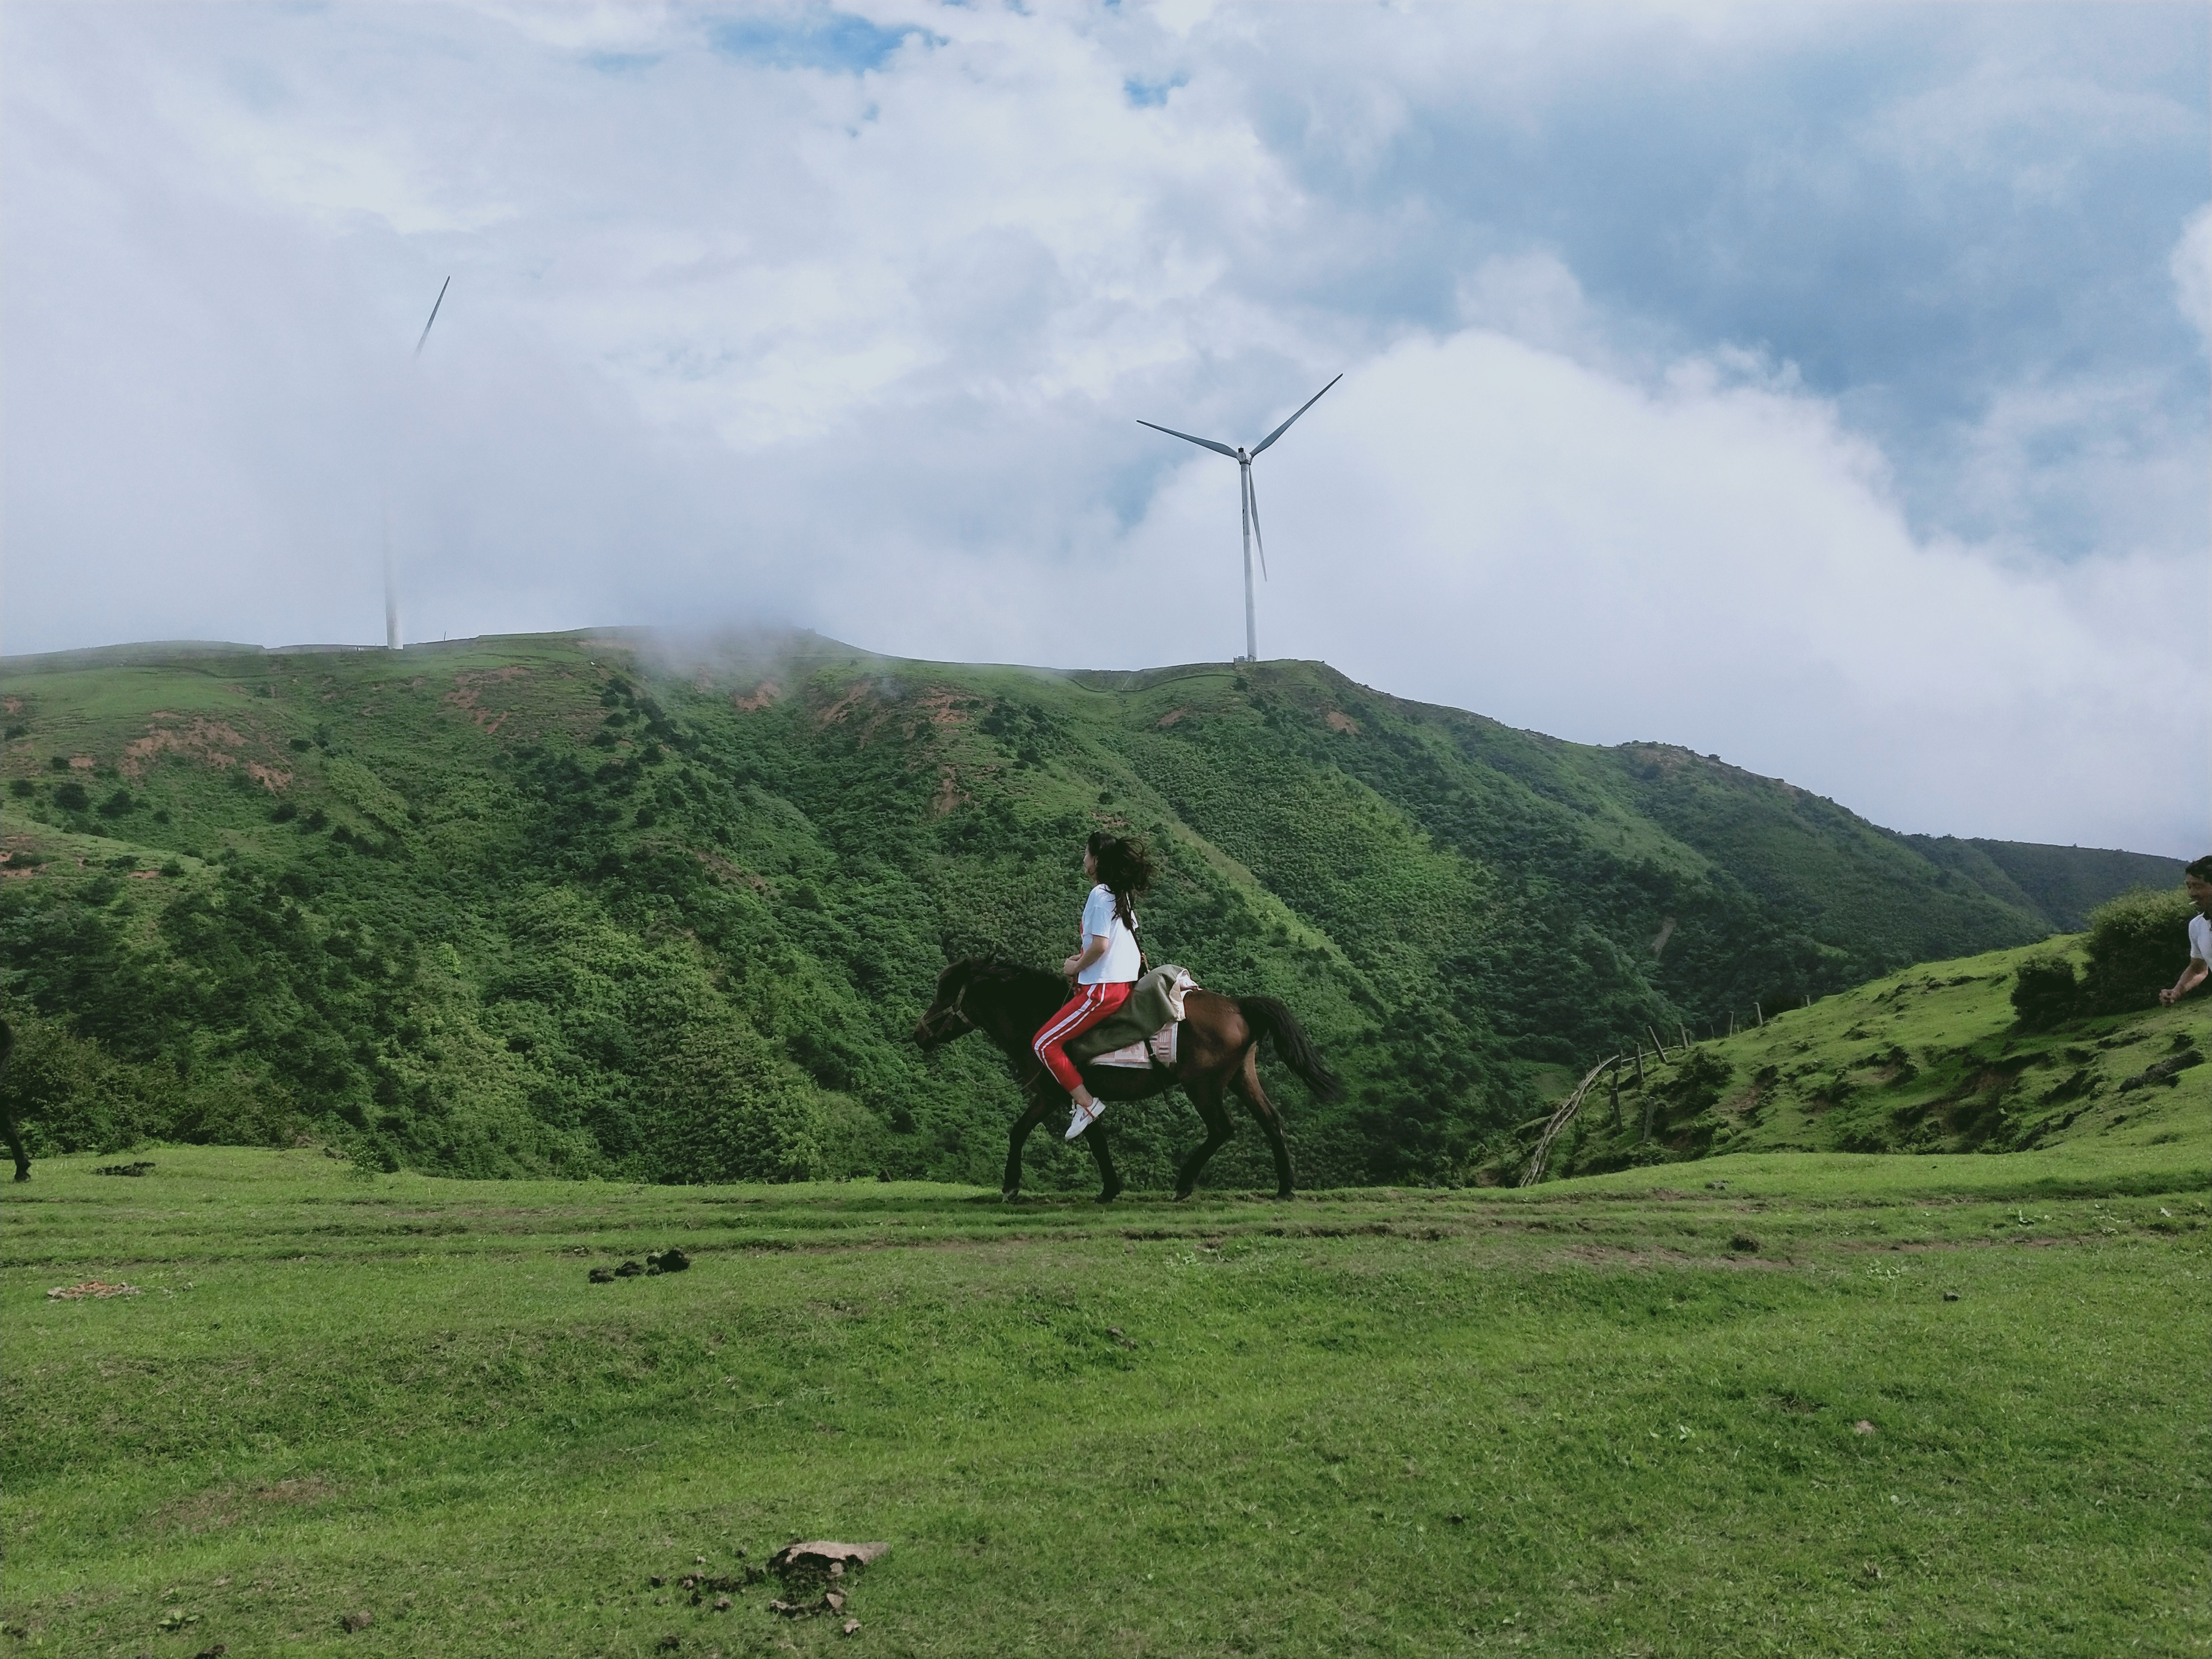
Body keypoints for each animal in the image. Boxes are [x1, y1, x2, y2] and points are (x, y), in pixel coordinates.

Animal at [907, 960, 1336, 1212]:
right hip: (1241, 1077)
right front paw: (1109, 1188)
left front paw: (1012, 1186)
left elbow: (1026, 1132)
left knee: (1222, 1129)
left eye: (946, 993)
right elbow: (1092, 1136)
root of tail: (1238, 1005)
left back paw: (1185, 1184)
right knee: (1271, 1121)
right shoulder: (1071, 1096)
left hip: (1204, 1086)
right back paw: (1285, 1187)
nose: (919, 1034)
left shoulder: (1053, 1094)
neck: (1039, 1016)